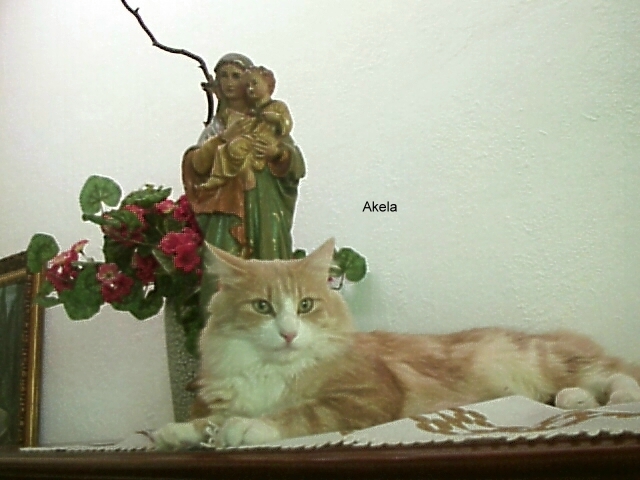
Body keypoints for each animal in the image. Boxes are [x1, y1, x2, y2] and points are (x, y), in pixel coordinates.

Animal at [153, 238, 640, 449]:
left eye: (306, 305)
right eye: (262, 307)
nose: (289, 333)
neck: (272, 371)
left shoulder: (367, 396)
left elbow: (298, 414)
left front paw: (247, 429)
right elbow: (208, 420)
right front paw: (181, 432)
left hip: (550, 359)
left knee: (618, 375)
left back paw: (612, 396)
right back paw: (576, 400)